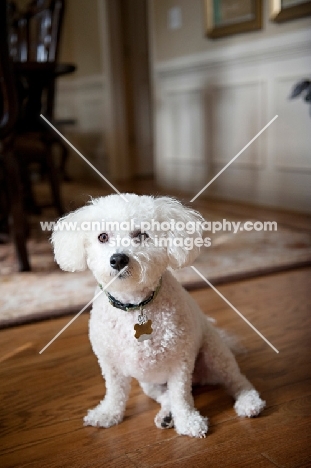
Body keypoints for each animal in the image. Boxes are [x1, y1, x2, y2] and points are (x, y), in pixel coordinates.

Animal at [52, 192, 266, 436]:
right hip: (150, 382)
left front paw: (188, 422)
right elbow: (115, 392)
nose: (118, 259)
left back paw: (249, 401)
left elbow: (181, 396)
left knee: (236, 380)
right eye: (103, 237)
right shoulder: (110, 364)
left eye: (141, 235)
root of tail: (200, 379)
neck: (135, 305)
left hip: (215, 354)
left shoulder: (180, 362)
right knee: (165, 396)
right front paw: (107, 414)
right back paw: (166, 415)